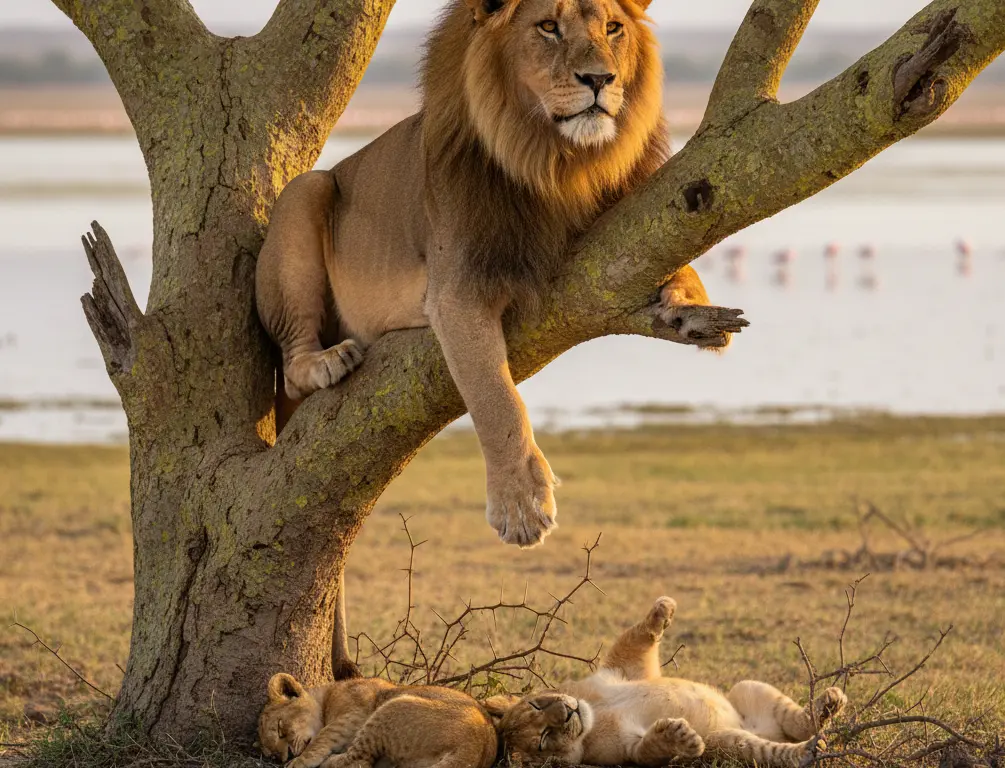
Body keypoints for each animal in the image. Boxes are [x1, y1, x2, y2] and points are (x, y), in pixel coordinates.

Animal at [256, 0, 748, 549]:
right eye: (548, 27)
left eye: (613, 28)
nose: (600, 78)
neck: (558, 162)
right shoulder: (458, 289)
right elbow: (496, 398)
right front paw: (521, 502)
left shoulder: (638, 218)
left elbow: (684, 264)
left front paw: (691, 310)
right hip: (305, 191)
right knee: (293, 364)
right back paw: (327, 361)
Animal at [257, 672, 498, 768]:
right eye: (272, 754)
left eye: (280, 728)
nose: (285, 756)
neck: (327, 695)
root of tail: (476, 747)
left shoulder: (354, 714)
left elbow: (323, 736)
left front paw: (298, 761)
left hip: (391, 707)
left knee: (359, 760)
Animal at [488, 597, 848, 767]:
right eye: (543, 739)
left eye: (538, 703)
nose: (567, 712)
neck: (596, 713)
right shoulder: (622, 752)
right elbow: (647, 751)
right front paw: (676, 735)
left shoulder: (623, 671)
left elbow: (634, 639)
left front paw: (662, 611)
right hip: (724, 741)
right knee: (775, 751)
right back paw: (811, 749)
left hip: (747, 687)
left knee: (795, 719)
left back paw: (828, 704)